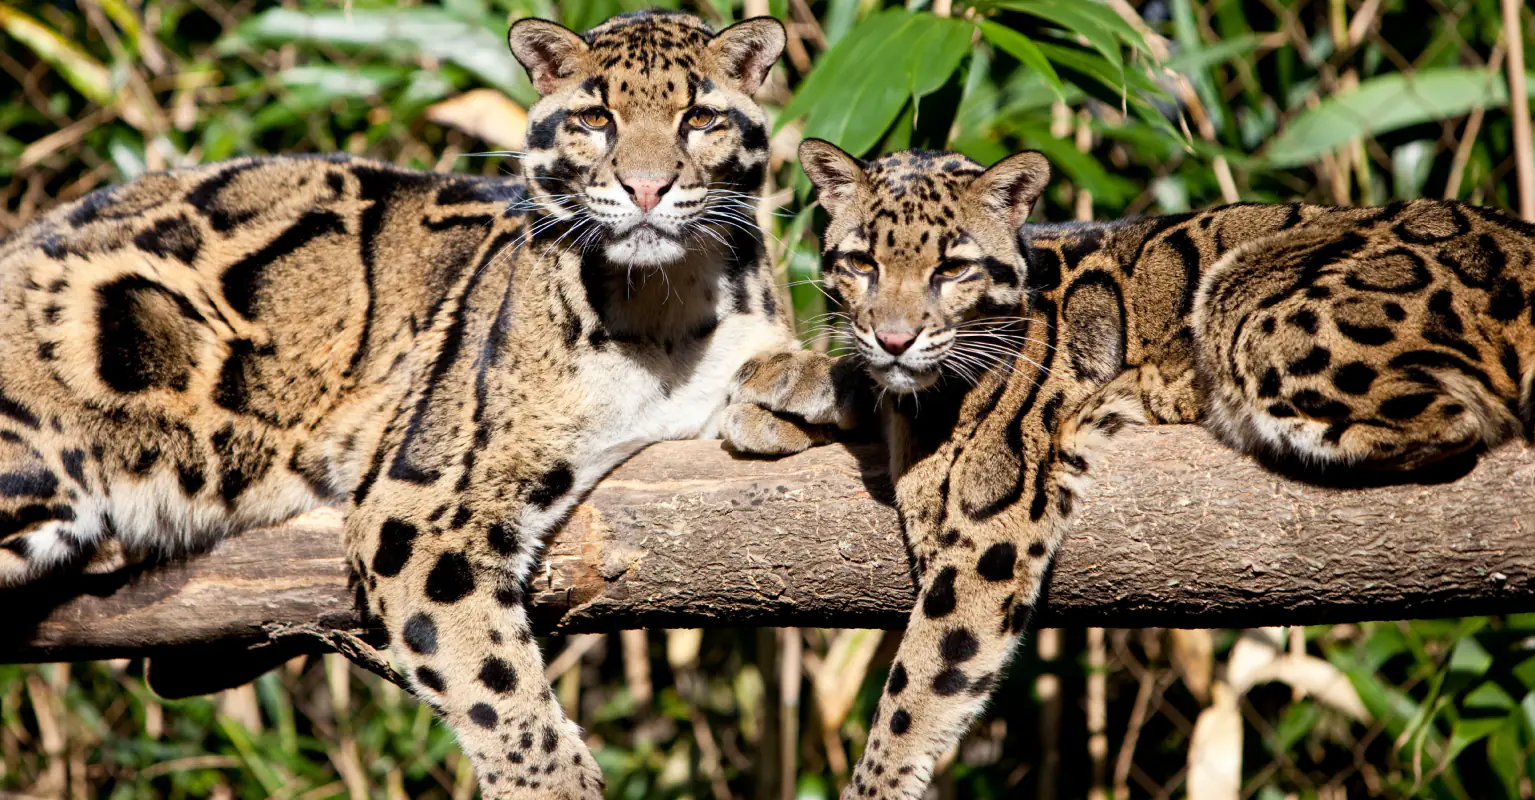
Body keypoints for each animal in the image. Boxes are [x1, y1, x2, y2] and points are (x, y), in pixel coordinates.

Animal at [0, 10, 790, 798]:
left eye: (699, 118)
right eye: (596, 118)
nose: (647, 188)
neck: (665, 304)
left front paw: (785, 392)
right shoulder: (419, 502)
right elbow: (490, 677)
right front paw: (549, 780)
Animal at [722, 137, 1535, 799]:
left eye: (951, 267)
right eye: (861, 262)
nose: (892, 338)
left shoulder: (991, 526)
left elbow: (920, 683)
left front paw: (876, 781)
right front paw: (782, 387)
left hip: (1246, 296)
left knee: (1461, 415)